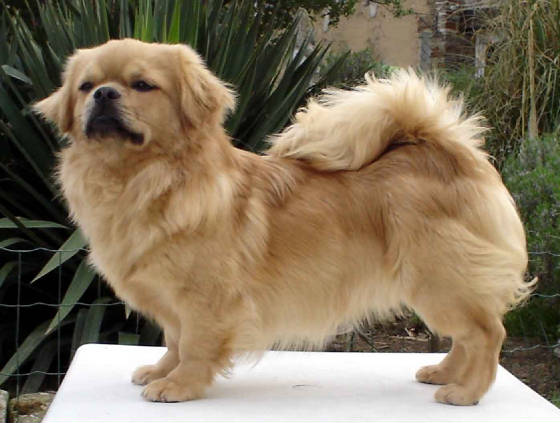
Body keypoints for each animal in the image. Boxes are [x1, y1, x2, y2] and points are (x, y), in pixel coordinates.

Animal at [34, 38, 532, 405]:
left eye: (141, 84)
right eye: (86, 86)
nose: (104, 94)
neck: (140, 178)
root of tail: (451, 152)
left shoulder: (204, 300)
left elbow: (194, 346)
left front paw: (178, 386)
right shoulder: (173, 302)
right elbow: (173, 341)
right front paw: (160, 371)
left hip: (439, 279)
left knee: (488, 332)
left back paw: (466, 392)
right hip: (440, 285)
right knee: (466, 336)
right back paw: (443, 373)